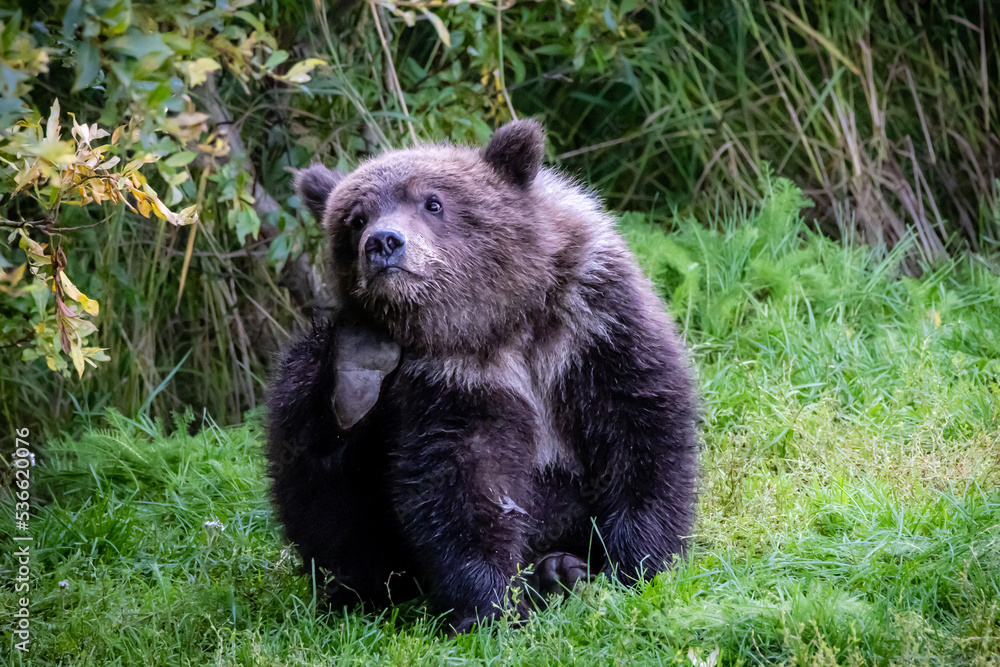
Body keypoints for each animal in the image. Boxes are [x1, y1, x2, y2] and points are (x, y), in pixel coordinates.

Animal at [265, 119, 699, 633]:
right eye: (354, 218)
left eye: (432, 202)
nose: (383, 242)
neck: (500, 322)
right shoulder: (451, 378)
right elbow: (463, 480)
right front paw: (492, 605)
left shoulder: (592, 321)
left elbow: (641, 428)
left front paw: (638, 562)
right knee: (314, 465)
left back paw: (560, 569)